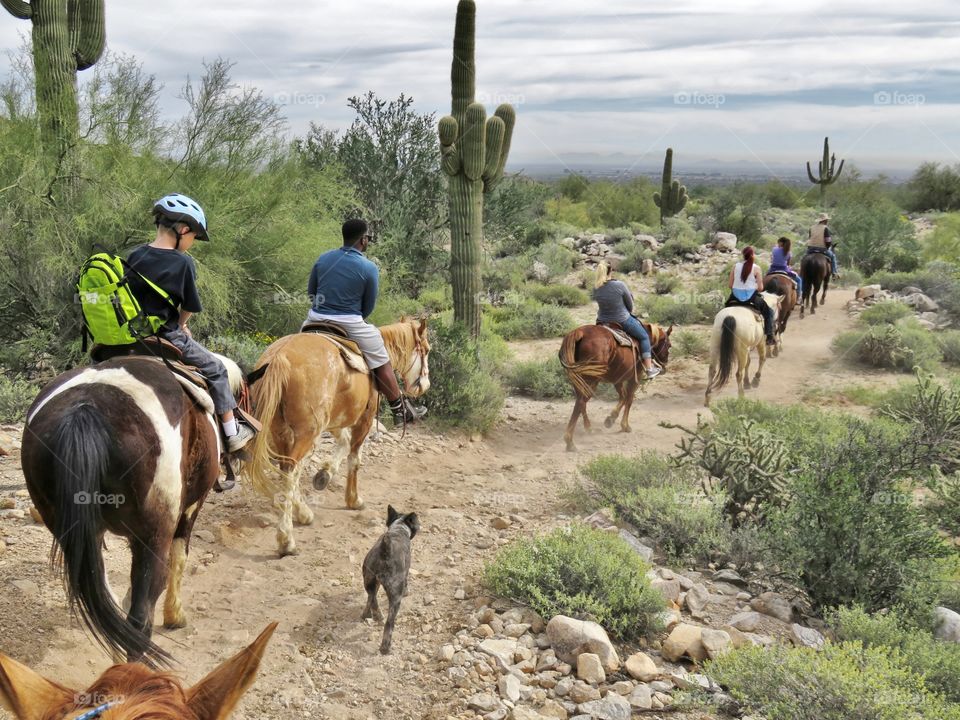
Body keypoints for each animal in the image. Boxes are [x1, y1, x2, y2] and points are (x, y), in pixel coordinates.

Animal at [21, 354, 244, 664]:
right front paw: (175, 615)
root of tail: (84, 410)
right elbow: (180, 556)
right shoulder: (188, 510)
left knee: (110, 607)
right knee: (139, 617)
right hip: (154, 535)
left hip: (69, 528)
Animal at [244, 318, 432, 560]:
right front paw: (353, 499)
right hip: (307, 432)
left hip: (281, 431)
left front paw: (324, 475)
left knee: (286, 468)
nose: (424, 386)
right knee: (292, 470)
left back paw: (303, 513)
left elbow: (342, 443)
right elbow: (354, 458)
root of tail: (279, 358)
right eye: (426, 349)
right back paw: (287, 540)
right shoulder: (364, 419)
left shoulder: (335, 420)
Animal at [362, 506, 418, 652]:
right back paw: (385, 648)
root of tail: (384, 549)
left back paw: (371, 616)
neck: (398, 527)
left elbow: (372, 598)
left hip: (369, 581)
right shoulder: (406, 571)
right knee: (389, 624)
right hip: (395, 597)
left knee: (372, 598)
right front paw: (407, 592)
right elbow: (406, 583)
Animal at [556, 320, 676, 450]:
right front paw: (625, 425)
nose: (665, 365)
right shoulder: (635, 377)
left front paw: (611, 419)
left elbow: (623, 396)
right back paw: (569, 441)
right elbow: (629, 398)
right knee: (581, 402)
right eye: (669, 345)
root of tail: (579, 333)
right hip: (592, 379)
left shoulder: (618, 378)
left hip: (580, 379)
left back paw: (588, 428)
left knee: (581, 402)